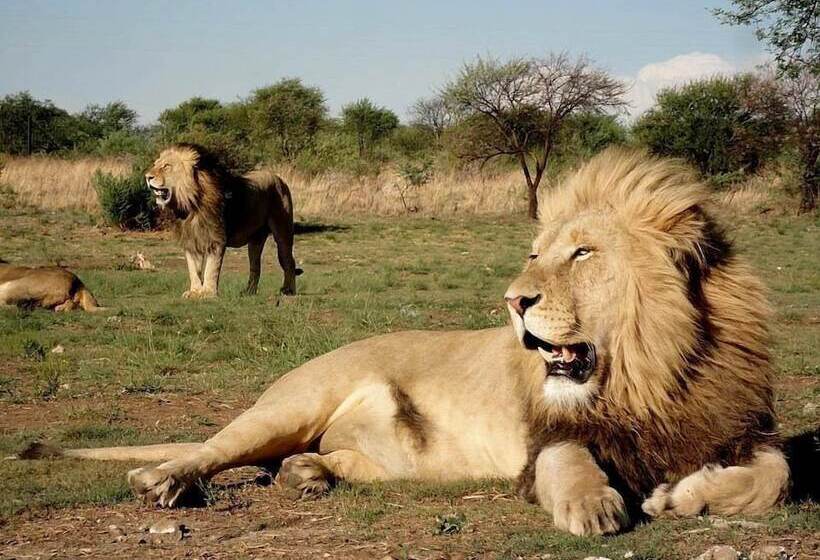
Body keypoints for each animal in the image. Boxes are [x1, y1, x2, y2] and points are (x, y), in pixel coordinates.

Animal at [145, 143, 302, 298]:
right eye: (155, 164)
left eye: (166, 166)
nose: (147, 177)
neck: (190, 205)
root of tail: (279, 178)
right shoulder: (191, 239)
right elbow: (193, 269)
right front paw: (194, 291)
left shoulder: (216, 239)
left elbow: (211, 269)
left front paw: (208, 293)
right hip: (255, 240)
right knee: (255, 266)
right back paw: (249, 292)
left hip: (283, 231)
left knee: (289, 261)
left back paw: (288, 290)